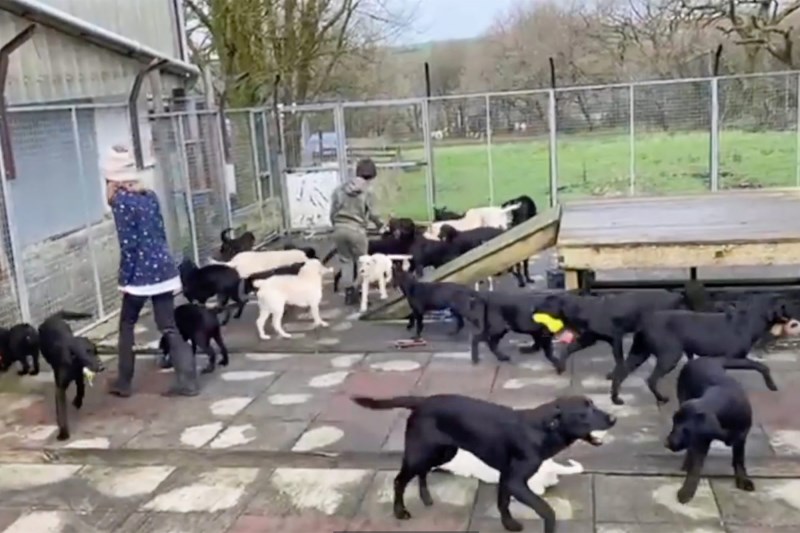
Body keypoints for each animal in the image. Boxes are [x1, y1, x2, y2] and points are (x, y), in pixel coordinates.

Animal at [38, 310, 106, 438]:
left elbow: (81, 390)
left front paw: (77, 402)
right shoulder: (60, 388)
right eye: (87, 353)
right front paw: (63, 433)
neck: (72, 360)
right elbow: (61, 410)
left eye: (96, 351)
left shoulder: (79, 376)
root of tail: (52, 318)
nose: (102, 367)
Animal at [612, 290, 788, 404]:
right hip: (670, 355)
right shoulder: (732, 359)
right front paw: (772, 385)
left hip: (639, 353)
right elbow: (761, 366)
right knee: (651, 379)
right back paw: (661, 398)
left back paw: (616, 399)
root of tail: (644, 323)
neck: (748, 321)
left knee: (620, 373)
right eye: (784, 306)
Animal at [668, 356, 776, 500]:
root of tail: (704, 359)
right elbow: (696, 468)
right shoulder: (702, 440)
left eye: (686, 430)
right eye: (674, 423)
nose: (667, 443)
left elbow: (739, 460)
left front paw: (743, 480)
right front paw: (687, 491)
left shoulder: (741, 437)